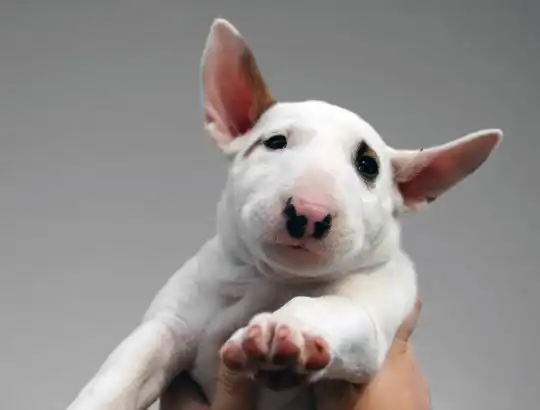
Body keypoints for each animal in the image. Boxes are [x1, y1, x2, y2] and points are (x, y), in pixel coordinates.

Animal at [66, 18, 502, 410]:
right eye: (275, 142)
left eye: (368, 165)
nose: (309, 213)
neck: (274, 280)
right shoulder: (168, 325)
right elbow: (125, 371)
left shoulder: (376, 304)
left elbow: (338, 309)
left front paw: (289, 332)